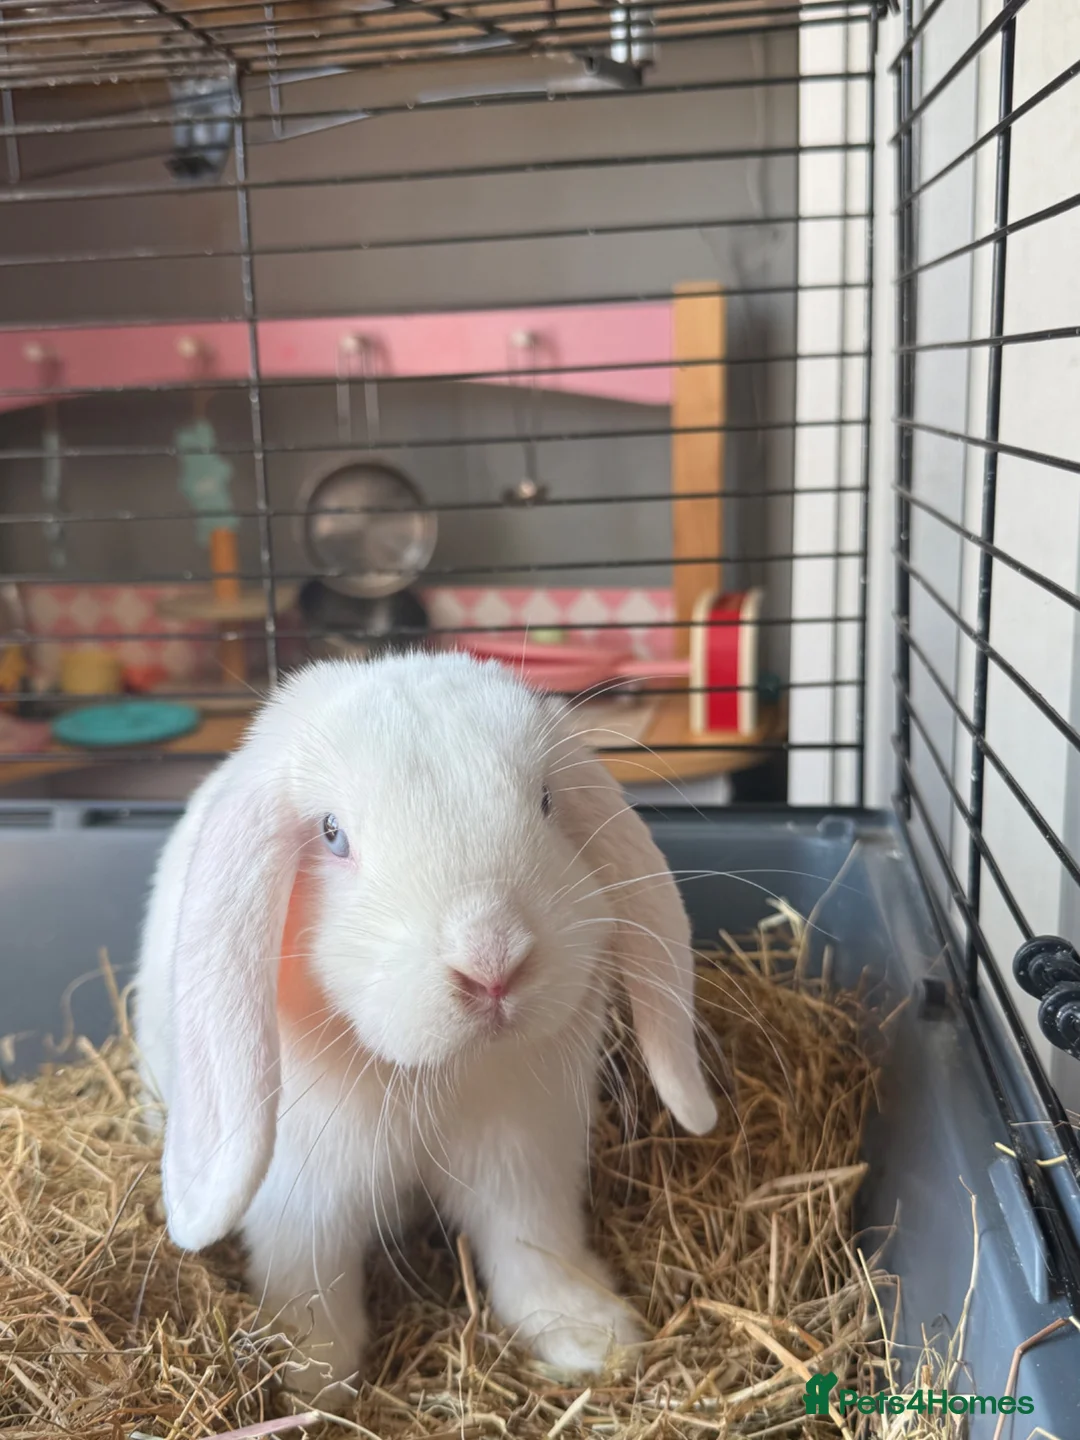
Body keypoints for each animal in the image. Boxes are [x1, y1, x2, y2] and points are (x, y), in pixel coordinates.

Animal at [135, 651, 717, 1405]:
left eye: (546, 802)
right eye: (332, 833)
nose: (492, 963)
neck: (429, 1078)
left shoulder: (524, 1164)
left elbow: (533, 1247)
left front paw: (593, 1338)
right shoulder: (302, 1200)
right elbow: (311, 1284)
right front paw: (311, 1380)